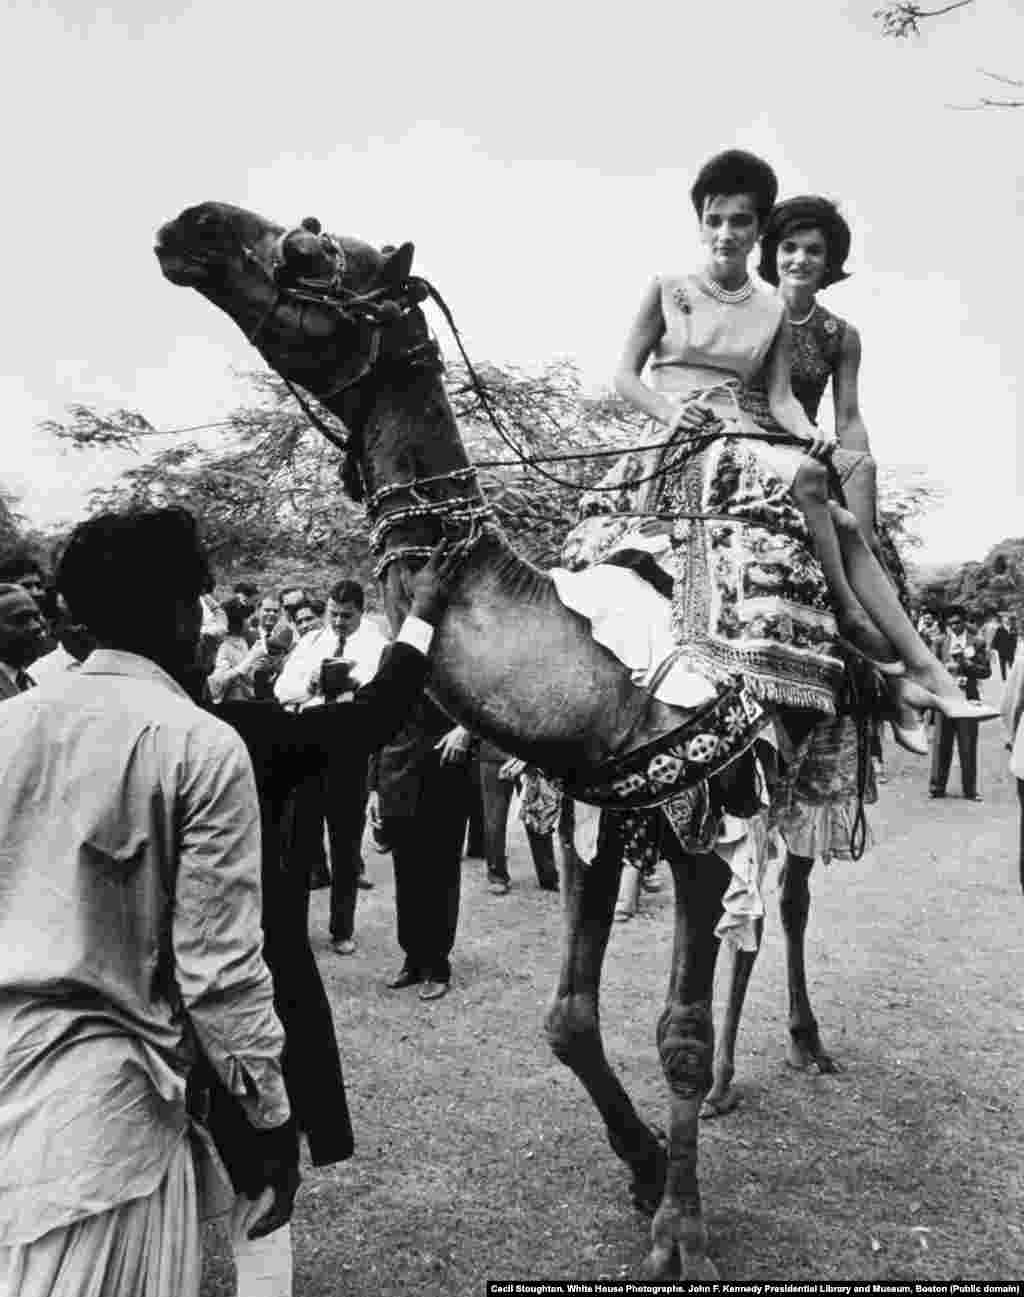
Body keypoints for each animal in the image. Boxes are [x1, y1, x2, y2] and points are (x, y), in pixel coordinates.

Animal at [156, 202, 850, 1276]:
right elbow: (568, 1020)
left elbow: (678, 1035)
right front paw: (646, 1165)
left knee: (790, 900)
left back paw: (802, 1045)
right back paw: (743, 1079)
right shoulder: (594, 813)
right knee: (761, 918)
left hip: (805, 770)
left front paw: (681, 1230)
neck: (597, 668)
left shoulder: (702, 809)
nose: (191, 225)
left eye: (313, 249)